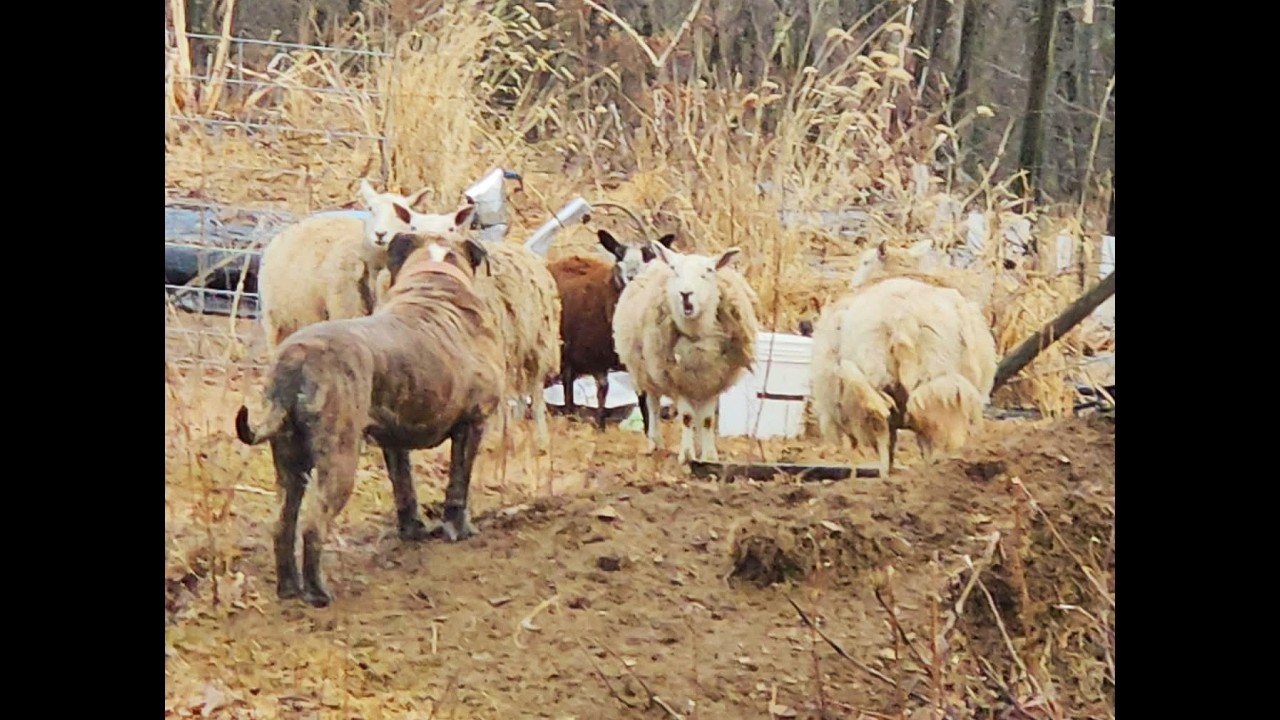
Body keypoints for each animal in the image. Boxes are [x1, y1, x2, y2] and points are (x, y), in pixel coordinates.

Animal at [234, 231, 504, 607]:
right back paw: (318, 592)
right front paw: (459, 529)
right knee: (313, 526)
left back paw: (288, 588)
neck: (435, 278)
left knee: (282, 524)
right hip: (339, 460)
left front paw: (412, 531)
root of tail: (295, 359)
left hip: (288, 462)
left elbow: (404, 488)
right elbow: (458, 485)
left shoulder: (394, 440)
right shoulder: (473, 423)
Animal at [546, 228, 677, 429]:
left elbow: (642, 397)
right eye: (619, 254)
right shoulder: (594, 357)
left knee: (568, 380)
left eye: (648, 255)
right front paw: (600, 426)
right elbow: (603, 390)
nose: (632, 277)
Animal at [612, 243, 760, 464]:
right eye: (674, 270)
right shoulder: (676, 380)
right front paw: (687, 454)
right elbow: (687, 417)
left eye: (708, 271)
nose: (685, 293)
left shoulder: (713, 380)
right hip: (646, 370)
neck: (696, 336)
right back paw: (655, 443)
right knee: (653, 406)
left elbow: (707, 420)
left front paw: (708, 455)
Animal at [809, 275, 998, 478]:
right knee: (924, 436)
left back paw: (888, 477)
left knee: (884, 432)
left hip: (875, 380)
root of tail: (901, 317)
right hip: (934, 386)